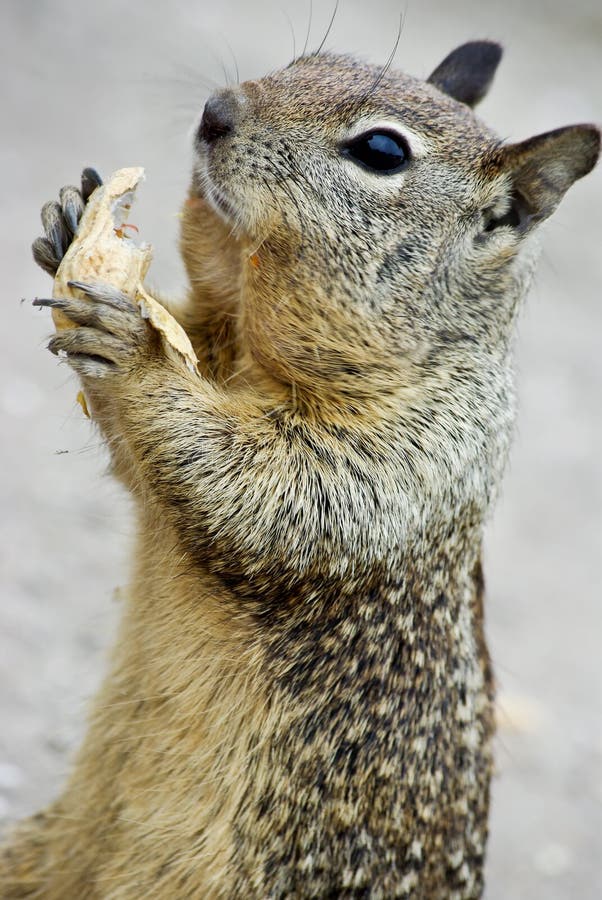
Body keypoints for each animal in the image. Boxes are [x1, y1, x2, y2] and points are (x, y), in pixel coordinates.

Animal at [2, 41, 599, 899]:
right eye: (308, 58)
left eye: (381, 151)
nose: (216, 110)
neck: (259, 354)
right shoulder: (217, 345)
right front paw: (69, 221)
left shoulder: (408, 461)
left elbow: (252, 490)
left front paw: (136, 352)